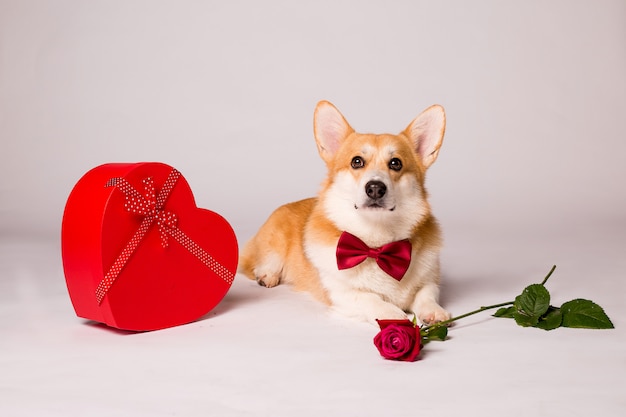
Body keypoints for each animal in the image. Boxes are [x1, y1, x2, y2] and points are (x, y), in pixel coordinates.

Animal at [238, 101, 448, 324]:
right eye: (357, 161)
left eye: (395, 163)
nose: (375, 188)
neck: (377, 246)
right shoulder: (341, 293)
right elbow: (370, 298)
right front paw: (394, 315)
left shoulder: (430, 280)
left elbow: (427, 293)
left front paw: (434, 311)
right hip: (273, 248)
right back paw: (267, 275)